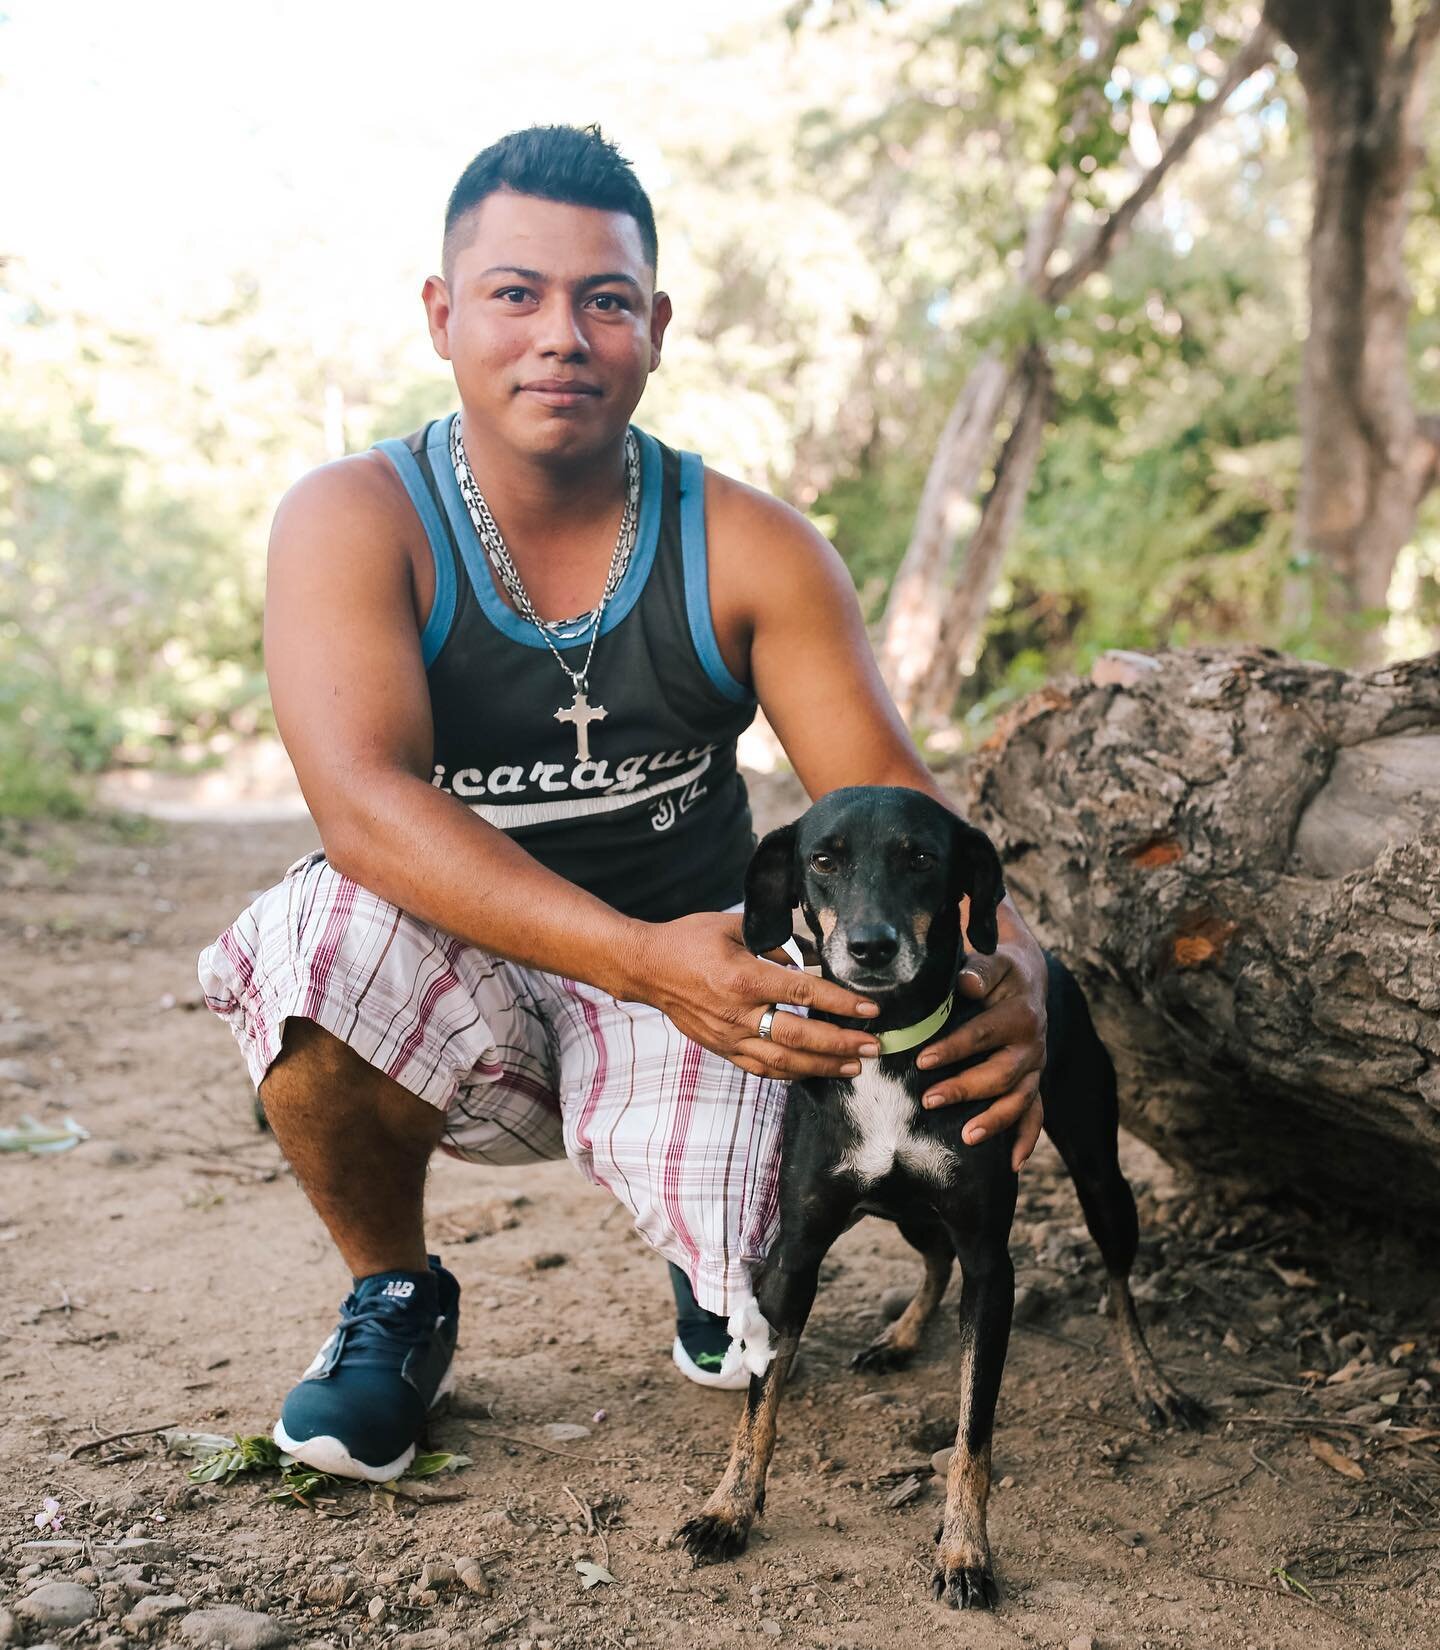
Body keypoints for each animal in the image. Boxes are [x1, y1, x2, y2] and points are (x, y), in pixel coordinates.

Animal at [676, 785, 1200, 1610]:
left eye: (921, 857)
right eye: (823, 860)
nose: (870, 947)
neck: (889, 1049)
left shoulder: (992, 1265)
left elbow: (971, 1433)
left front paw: (964, 1552)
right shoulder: (795, 1255)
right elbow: (760, 1402)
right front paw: (728, 1508)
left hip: (1101, 1180)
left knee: (1119, 1286)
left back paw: (1154, 1383)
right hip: (905, 1213)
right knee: (932, 1260)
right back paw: (901, 1337)